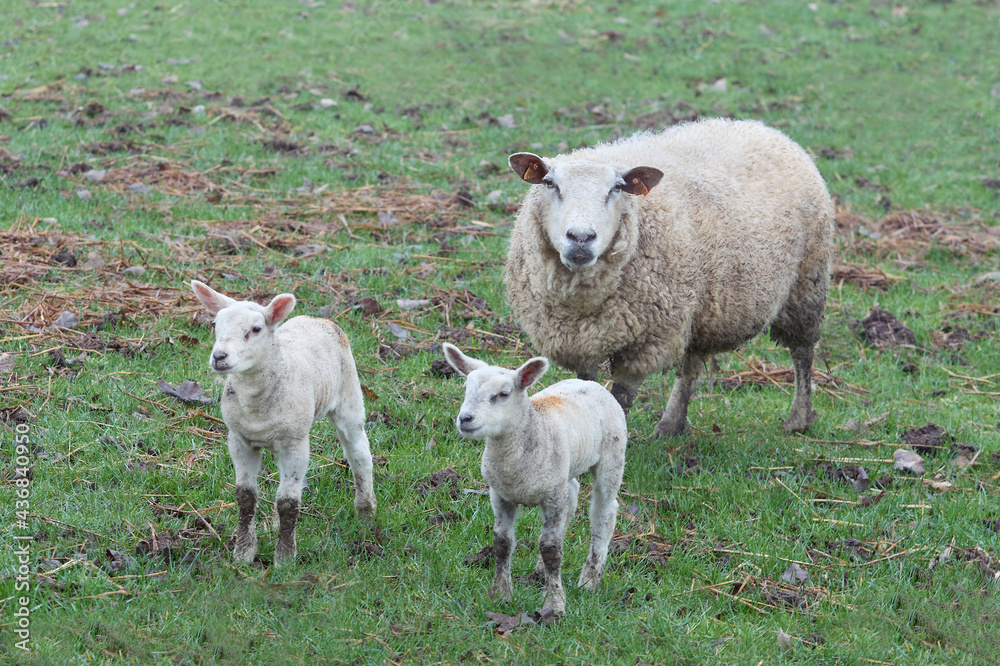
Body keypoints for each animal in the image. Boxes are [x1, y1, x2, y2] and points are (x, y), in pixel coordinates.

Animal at [188, 278, 376, 564]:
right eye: (215, 325)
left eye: (256, 329)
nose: (219, 357)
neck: (256, 406)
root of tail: (317, 319)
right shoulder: (239, 439)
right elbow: (245, 496)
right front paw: (243, 553)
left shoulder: (294, 442)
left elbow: (288, 502)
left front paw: (285, 558)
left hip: (348, 395)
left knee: (359, 453)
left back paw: (366, 512)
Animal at [444, 342, 624, 612]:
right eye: (466, 388)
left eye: (503, 394)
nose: (465, 419)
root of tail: (592, 384)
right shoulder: (500, 494)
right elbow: (502, 544)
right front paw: (501, 595)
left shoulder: (552, 496)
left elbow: (550, 548)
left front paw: (554, 603)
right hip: (562, 474)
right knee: (572, 495)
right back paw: (541, 571)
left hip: (612, 455)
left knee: (604, 511)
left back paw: (589, 580)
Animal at [504, 116, 832, 438]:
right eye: (550, 183)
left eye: (617, 188)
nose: (581, 238)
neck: (583, 305)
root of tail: (764, 128)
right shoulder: (580, 341)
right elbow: (590, 389)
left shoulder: (648, 342)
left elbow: (621, 399)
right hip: (699, 309)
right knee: (691, 362)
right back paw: (672, 425)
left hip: (807, 282)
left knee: (803, 351)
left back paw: (799, 418)